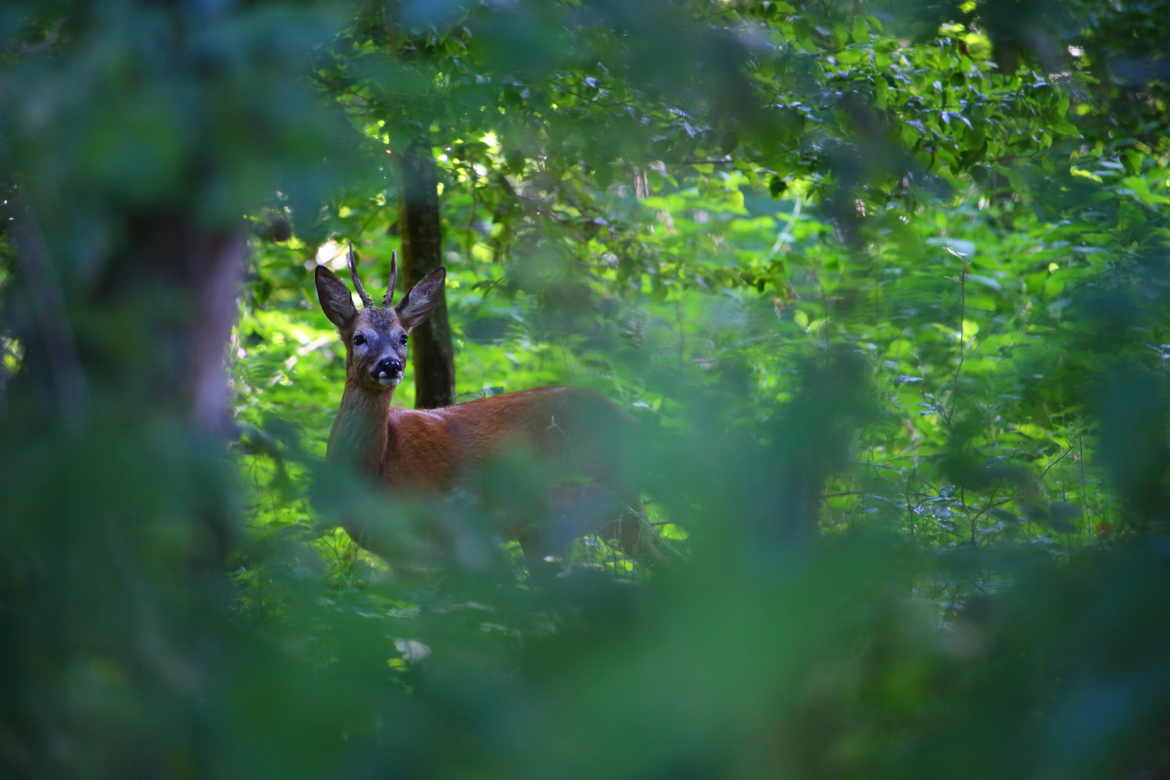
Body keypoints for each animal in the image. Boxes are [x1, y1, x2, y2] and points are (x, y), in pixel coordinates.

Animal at [313, 245, 659, 573]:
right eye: (359, 337)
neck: (378, 464)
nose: (390, 365)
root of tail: (631, 423)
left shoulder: (440, 530)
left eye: (403, 338)